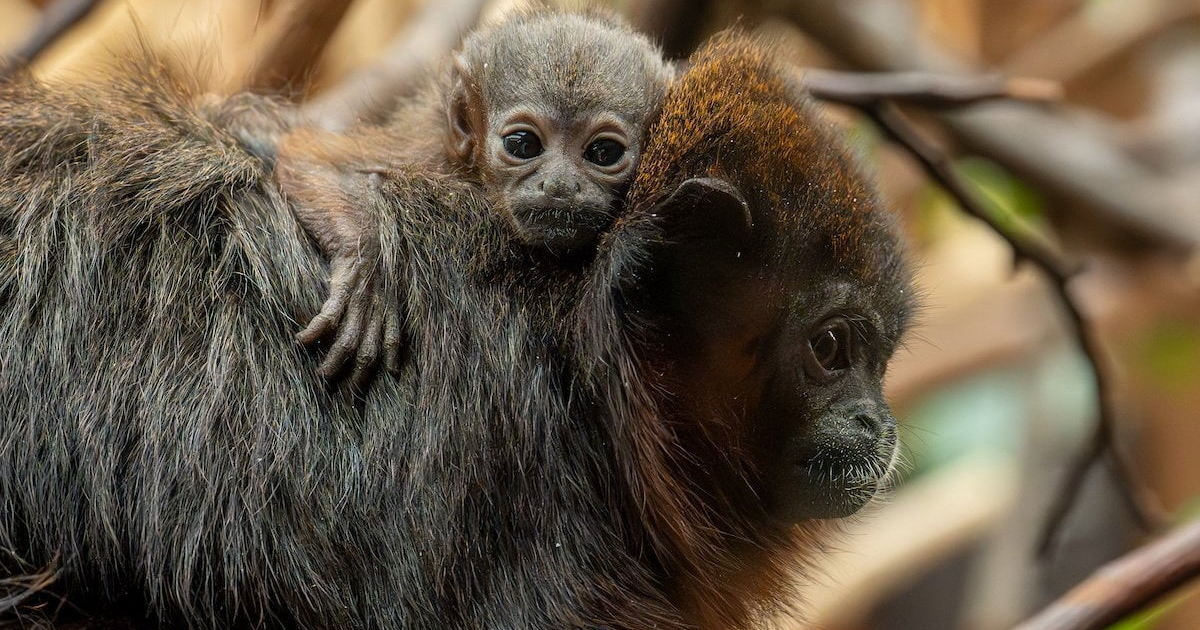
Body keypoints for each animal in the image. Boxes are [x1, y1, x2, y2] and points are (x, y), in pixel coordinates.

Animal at [275, 10, 674, 388]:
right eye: (523, 144)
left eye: (603, 152)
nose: (560, 186)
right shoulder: (425, 146)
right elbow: (308, 157)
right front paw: (366, 270)